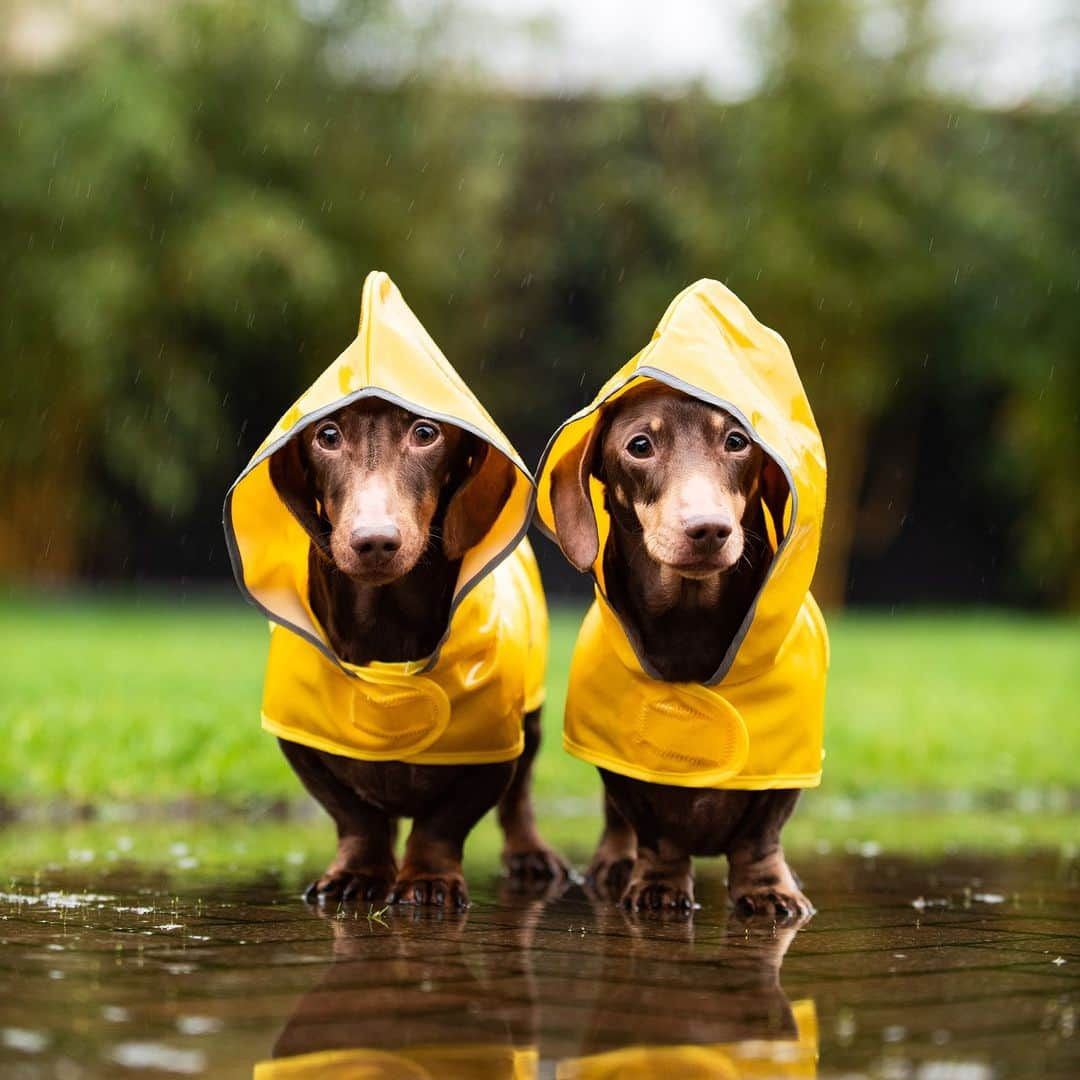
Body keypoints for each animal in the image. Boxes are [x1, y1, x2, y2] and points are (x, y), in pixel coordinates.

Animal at [270, 395, 565, 902]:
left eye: (426, 433)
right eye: (327, 435)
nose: (374, 541)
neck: (385, 627)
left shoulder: (491, 751)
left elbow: (443, 824)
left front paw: (429, 880)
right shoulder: (302, 744)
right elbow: (356, 817)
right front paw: (358, 874)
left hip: (532, 718)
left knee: (520, 793)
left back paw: (529, 853)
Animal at [548, 384, 812, 915]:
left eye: (737, 441)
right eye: (640, 446)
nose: (708, 530)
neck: (691, 620)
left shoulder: (785, 764)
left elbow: (760, 836)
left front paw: (768, 888)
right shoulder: (625, 771)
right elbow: (655, 833)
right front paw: (658, 884)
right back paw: (615, 861)